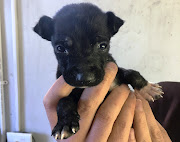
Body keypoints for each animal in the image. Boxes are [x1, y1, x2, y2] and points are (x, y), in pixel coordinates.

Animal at [33, 2, 163, 139]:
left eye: (103, 46)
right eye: (60, 48)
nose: (85, 78)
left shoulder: (116, 75)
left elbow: (131, 73)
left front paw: (147, 88)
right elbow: (63, 101)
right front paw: (64, 123)